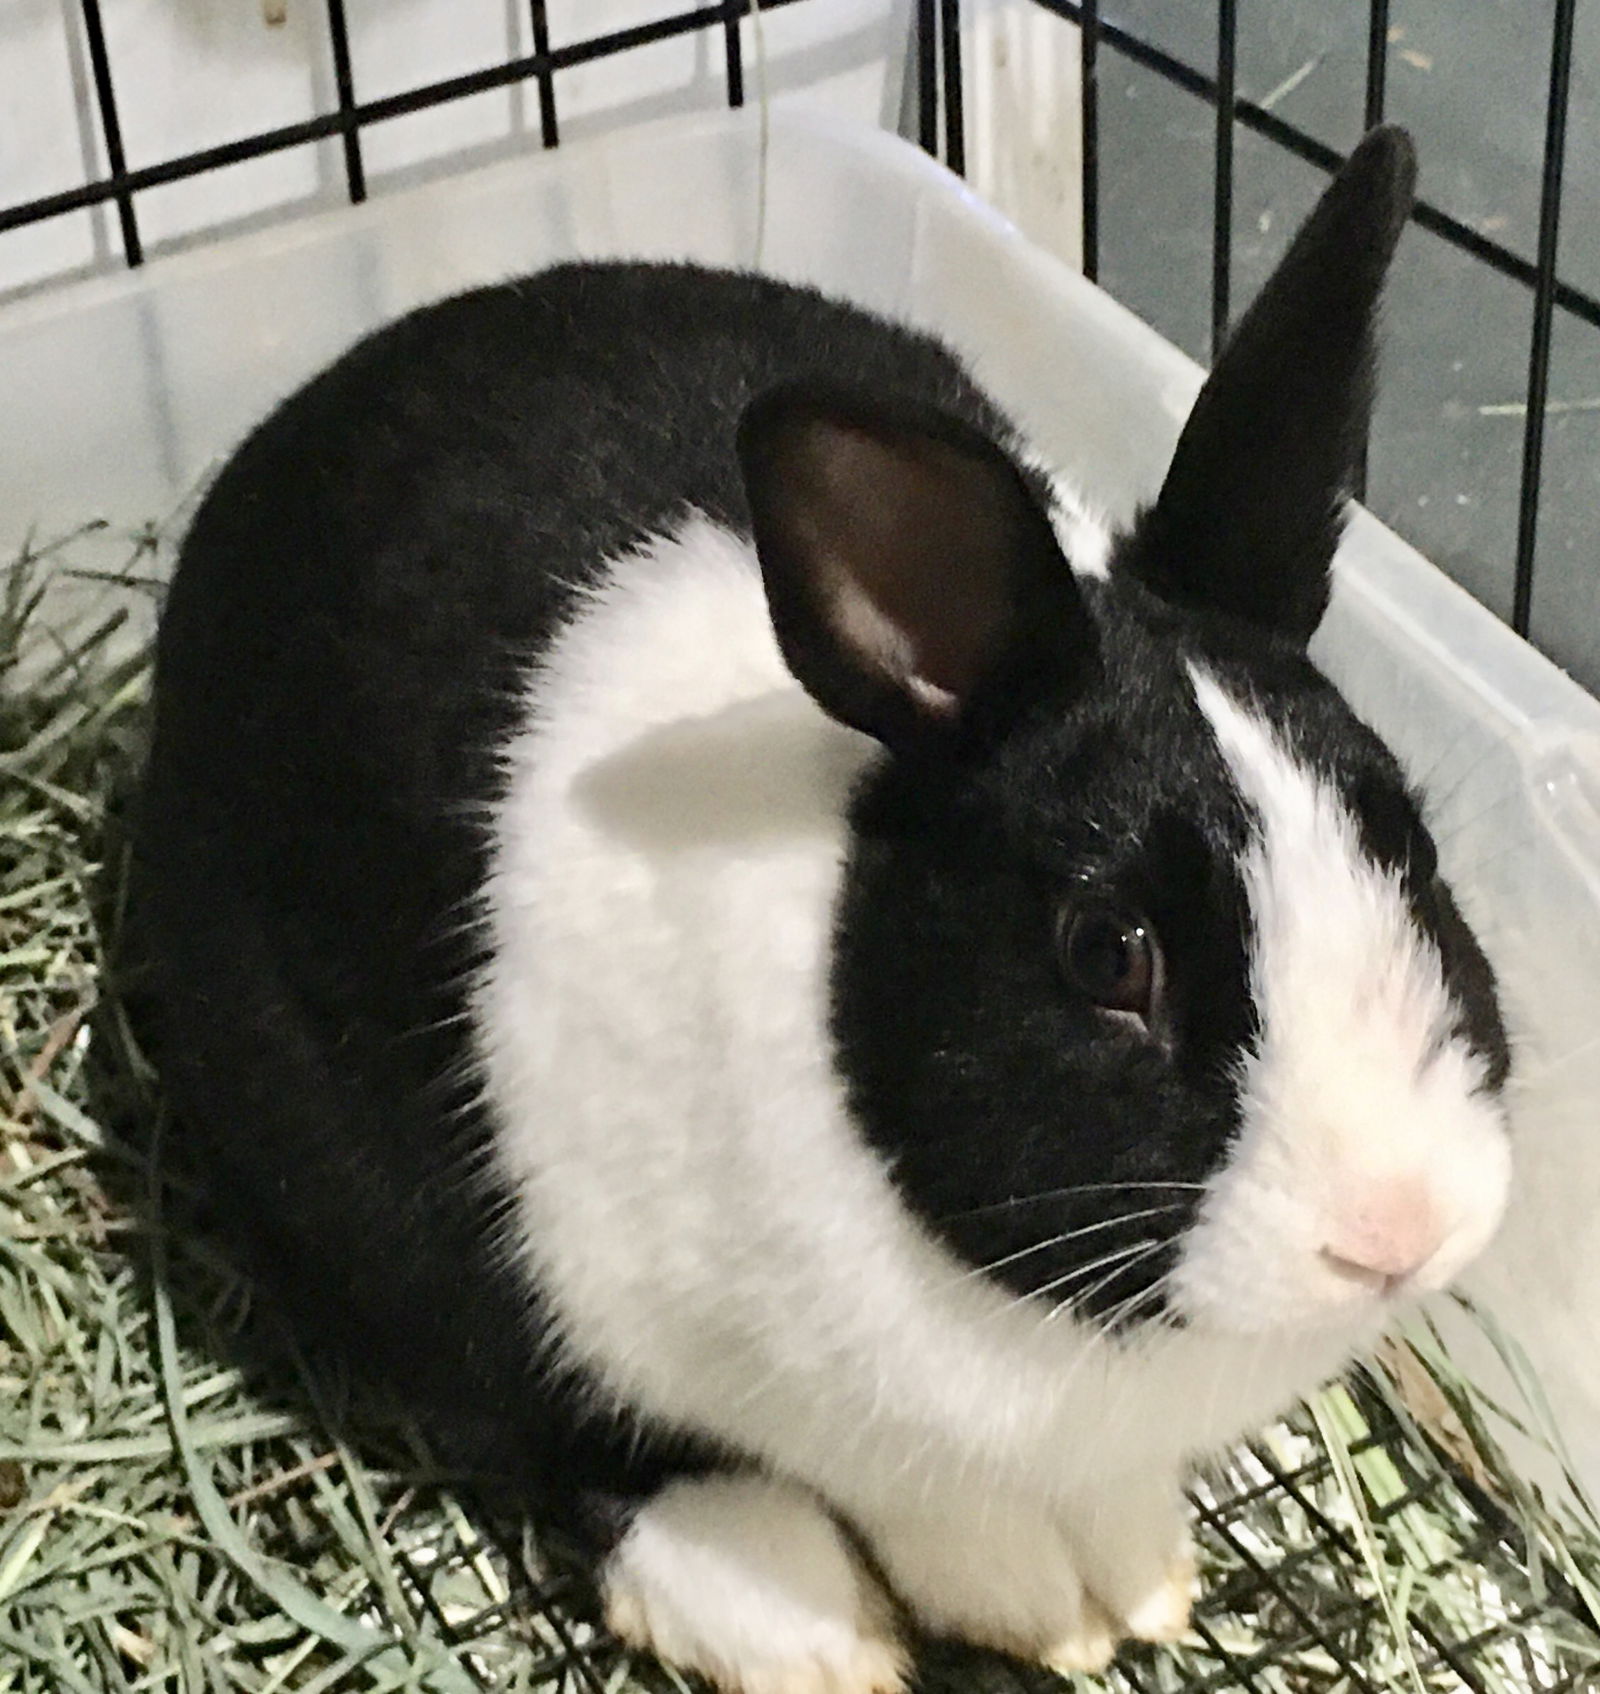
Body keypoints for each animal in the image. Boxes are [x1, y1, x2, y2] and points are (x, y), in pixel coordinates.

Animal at [137, 125, 1510, 1687]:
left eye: (1404, 836)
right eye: (1106, 951)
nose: (1396, 1230)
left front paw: (1134, 1583)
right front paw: (987, 1607)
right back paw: (798, 1616)